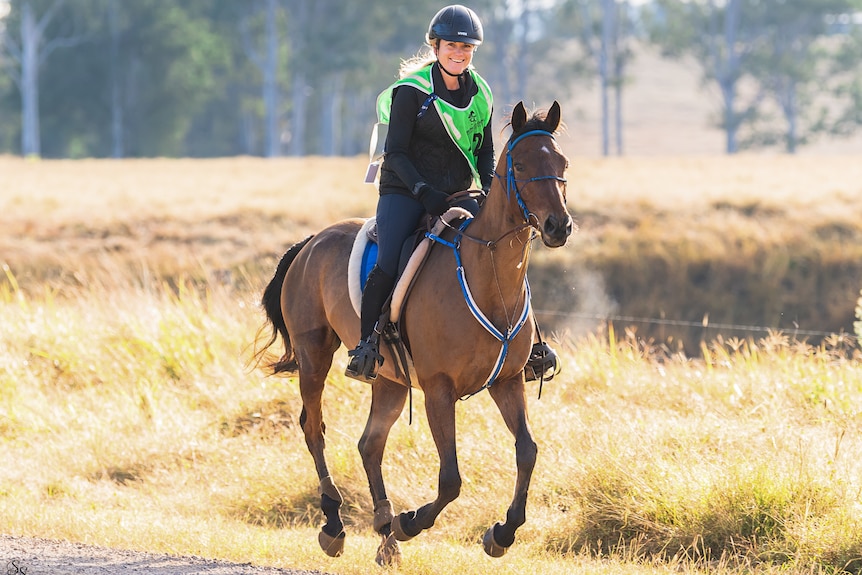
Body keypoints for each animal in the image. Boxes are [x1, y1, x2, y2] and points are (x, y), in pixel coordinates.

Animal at [250, 100, 572, 568]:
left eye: (562, 163)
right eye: (523, 164)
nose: (558, 226)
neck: (490, 277)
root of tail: (310, 242)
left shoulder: (508, 382)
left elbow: (527, 452)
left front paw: (502, 533)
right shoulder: (439, 390)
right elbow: (451, 479)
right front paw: (411, 521)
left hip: (389, 379)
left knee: (369, 444)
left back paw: (385, 534)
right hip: (315, 355)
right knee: (314, 428)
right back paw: (336, 525)